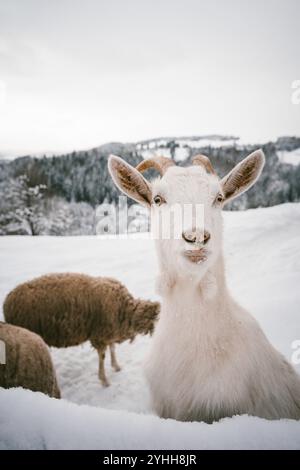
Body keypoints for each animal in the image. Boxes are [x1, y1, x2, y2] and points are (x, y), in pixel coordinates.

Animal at [3, 274, 161, 388]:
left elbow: (112, 348)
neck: (125, 311)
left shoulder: (109, 331)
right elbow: (102, 356)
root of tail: (7, 301)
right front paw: (104, 380)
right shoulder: (100, 334)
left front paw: (116, 366)